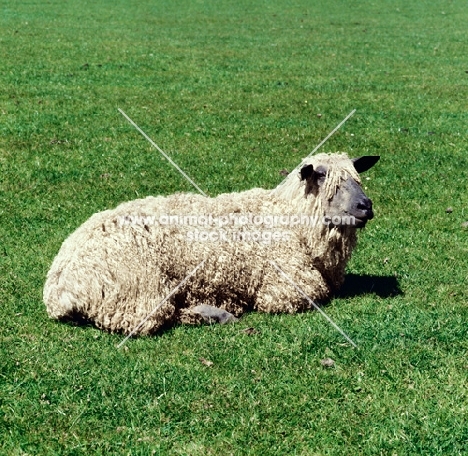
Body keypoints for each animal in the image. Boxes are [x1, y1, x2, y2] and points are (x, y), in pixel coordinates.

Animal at [43, 151, 380, 334]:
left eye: (356, 178)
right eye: (326, 180)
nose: (366, 205)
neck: (288, 218)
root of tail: (58, 287)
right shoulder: (284, 288)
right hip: (137, 289)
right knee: (149, 319)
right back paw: (216, 314)